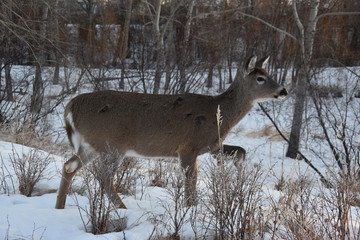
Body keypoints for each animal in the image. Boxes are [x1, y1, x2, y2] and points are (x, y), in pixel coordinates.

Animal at [54, 55, 288, 209]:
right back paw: (122, 210)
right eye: (260, 78)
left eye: (269, 73)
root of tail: (70, 107)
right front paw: (190, 209)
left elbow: (241, 151)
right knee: (103, 179)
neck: (218, 114)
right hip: (112, 145)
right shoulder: (188, 146)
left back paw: (59, 206)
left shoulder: (211, 146)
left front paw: (238, 176)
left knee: (69, 166)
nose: (283, 90)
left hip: (91, 145)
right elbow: (191, 180)